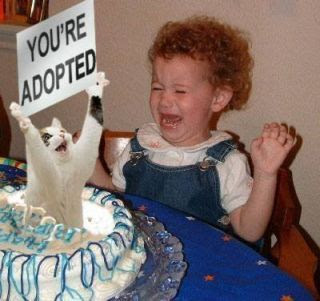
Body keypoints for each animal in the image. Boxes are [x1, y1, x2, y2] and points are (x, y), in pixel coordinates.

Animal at [9, 72, 109, 227]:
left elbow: (95, 119)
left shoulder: (86, 152)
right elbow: (35, 142)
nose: (62, 135)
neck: (64, 166)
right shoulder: (45, 170)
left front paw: (95, 87)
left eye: (62, 131)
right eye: (47, 136)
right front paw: (23, 119)